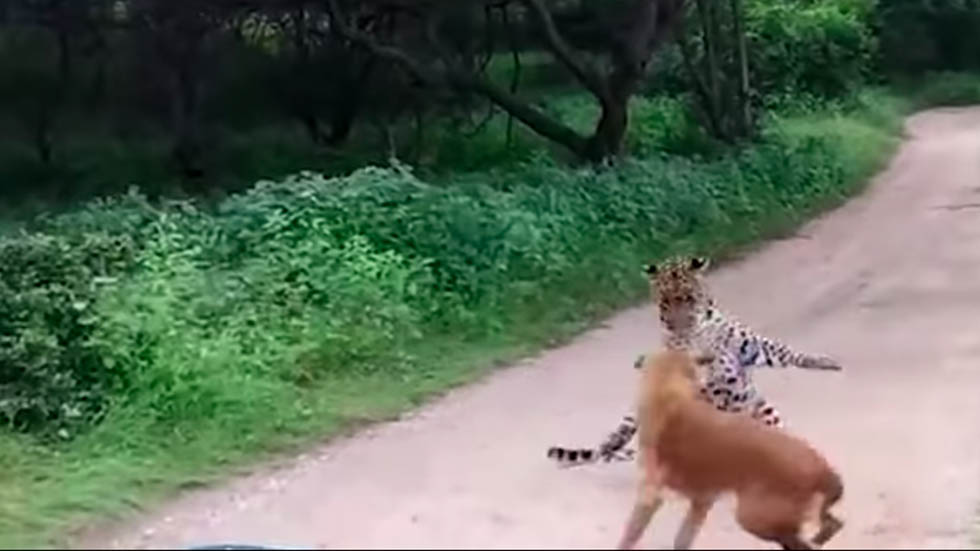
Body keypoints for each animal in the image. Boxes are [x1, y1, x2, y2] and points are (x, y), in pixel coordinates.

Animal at [546, 256, 842, 468]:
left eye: (687, 297)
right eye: (663, 301)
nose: (672, 322)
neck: (702, 325)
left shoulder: (750, 347)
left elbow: (784, 351)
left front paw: (823, 361)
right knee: (613, 446)